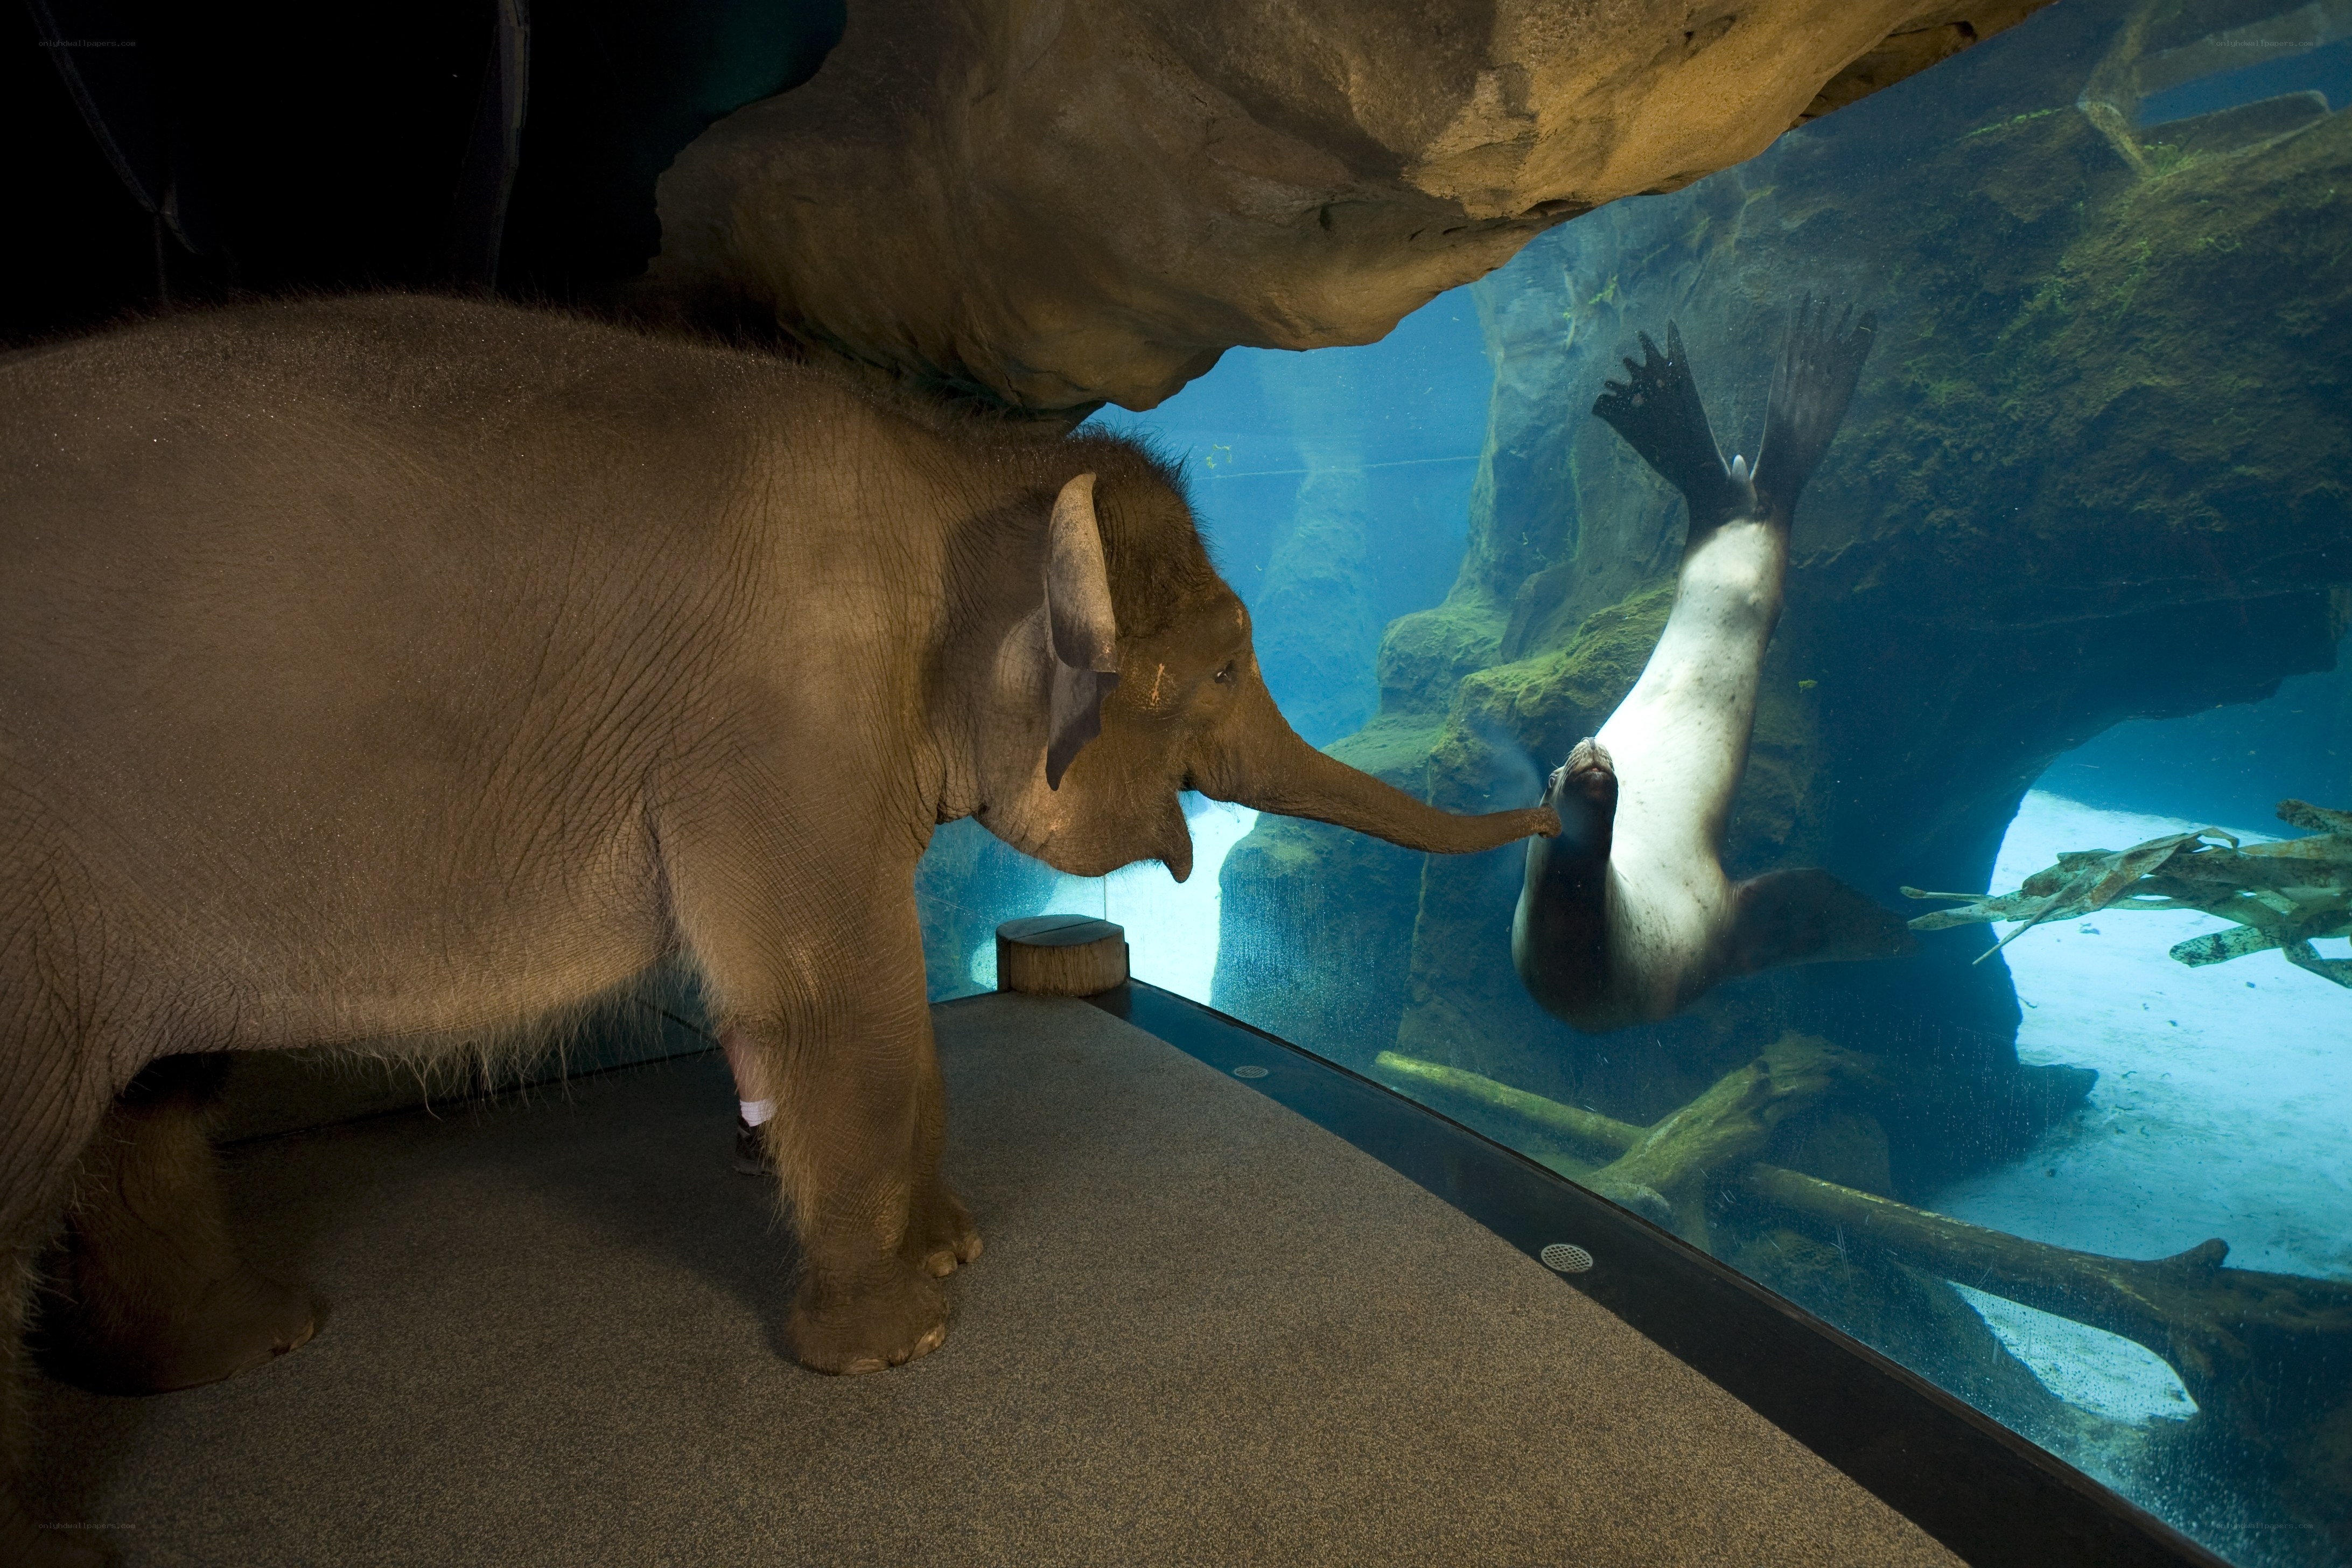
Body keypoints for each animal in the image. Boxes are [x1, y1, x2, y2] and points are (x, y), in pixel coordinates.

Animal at [0, 294, 1556, 1563]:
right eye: (1230, 665)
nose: (1562, 802)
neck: (955, 463)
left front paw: (951, 1250)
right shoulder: (778, 716)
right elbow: (832, 999)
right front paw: (895, 1344)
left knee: (148, 1097)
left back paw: (244, 1346)